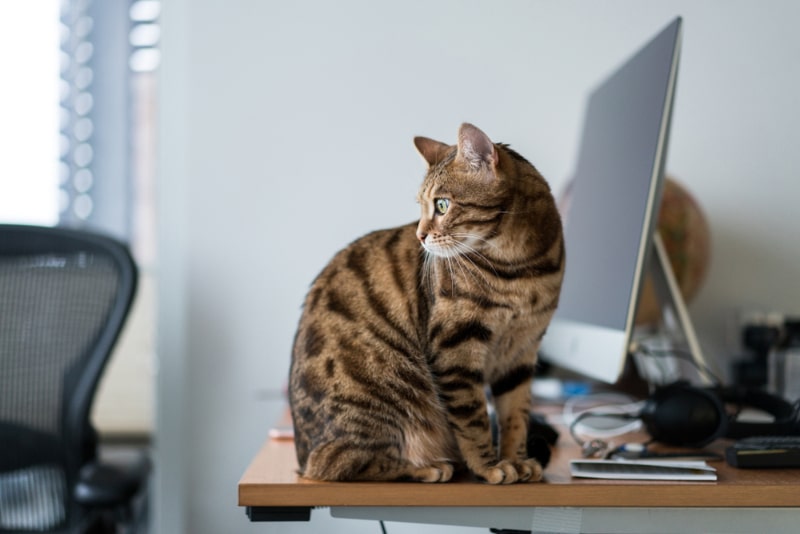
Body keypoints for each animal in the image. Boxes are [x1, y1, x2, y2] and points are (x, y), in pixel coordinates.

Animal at [288, 122, 564, 486]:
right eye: (421, 205)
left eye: (443, 205)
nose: (420, 235)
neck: (520, 268)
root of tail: (300, 457)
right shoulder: (455, 349)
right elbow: (474, 419)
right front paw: (490, 467)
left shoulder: (522, 350)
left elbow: (516, 415)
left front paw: (517, 460)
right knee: (336, 463)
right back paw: (428, 467)